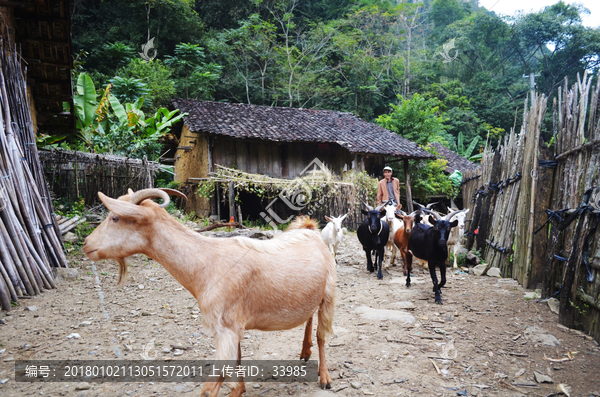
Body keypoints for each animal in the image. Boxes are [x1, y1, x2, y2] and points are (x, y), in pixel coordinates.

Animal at [83, 189, 338, 392]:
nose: (86, 244)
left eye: (115, 217)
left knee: (322, 335)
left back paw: (324, 376)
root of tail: (309, 229)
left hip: (329, 293)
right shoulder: (233, 327)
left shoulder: (224, 329)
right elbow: (236, 369)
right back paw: (305, 352)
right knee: (309, 317)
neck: (205, 263)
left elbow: (212, 387)